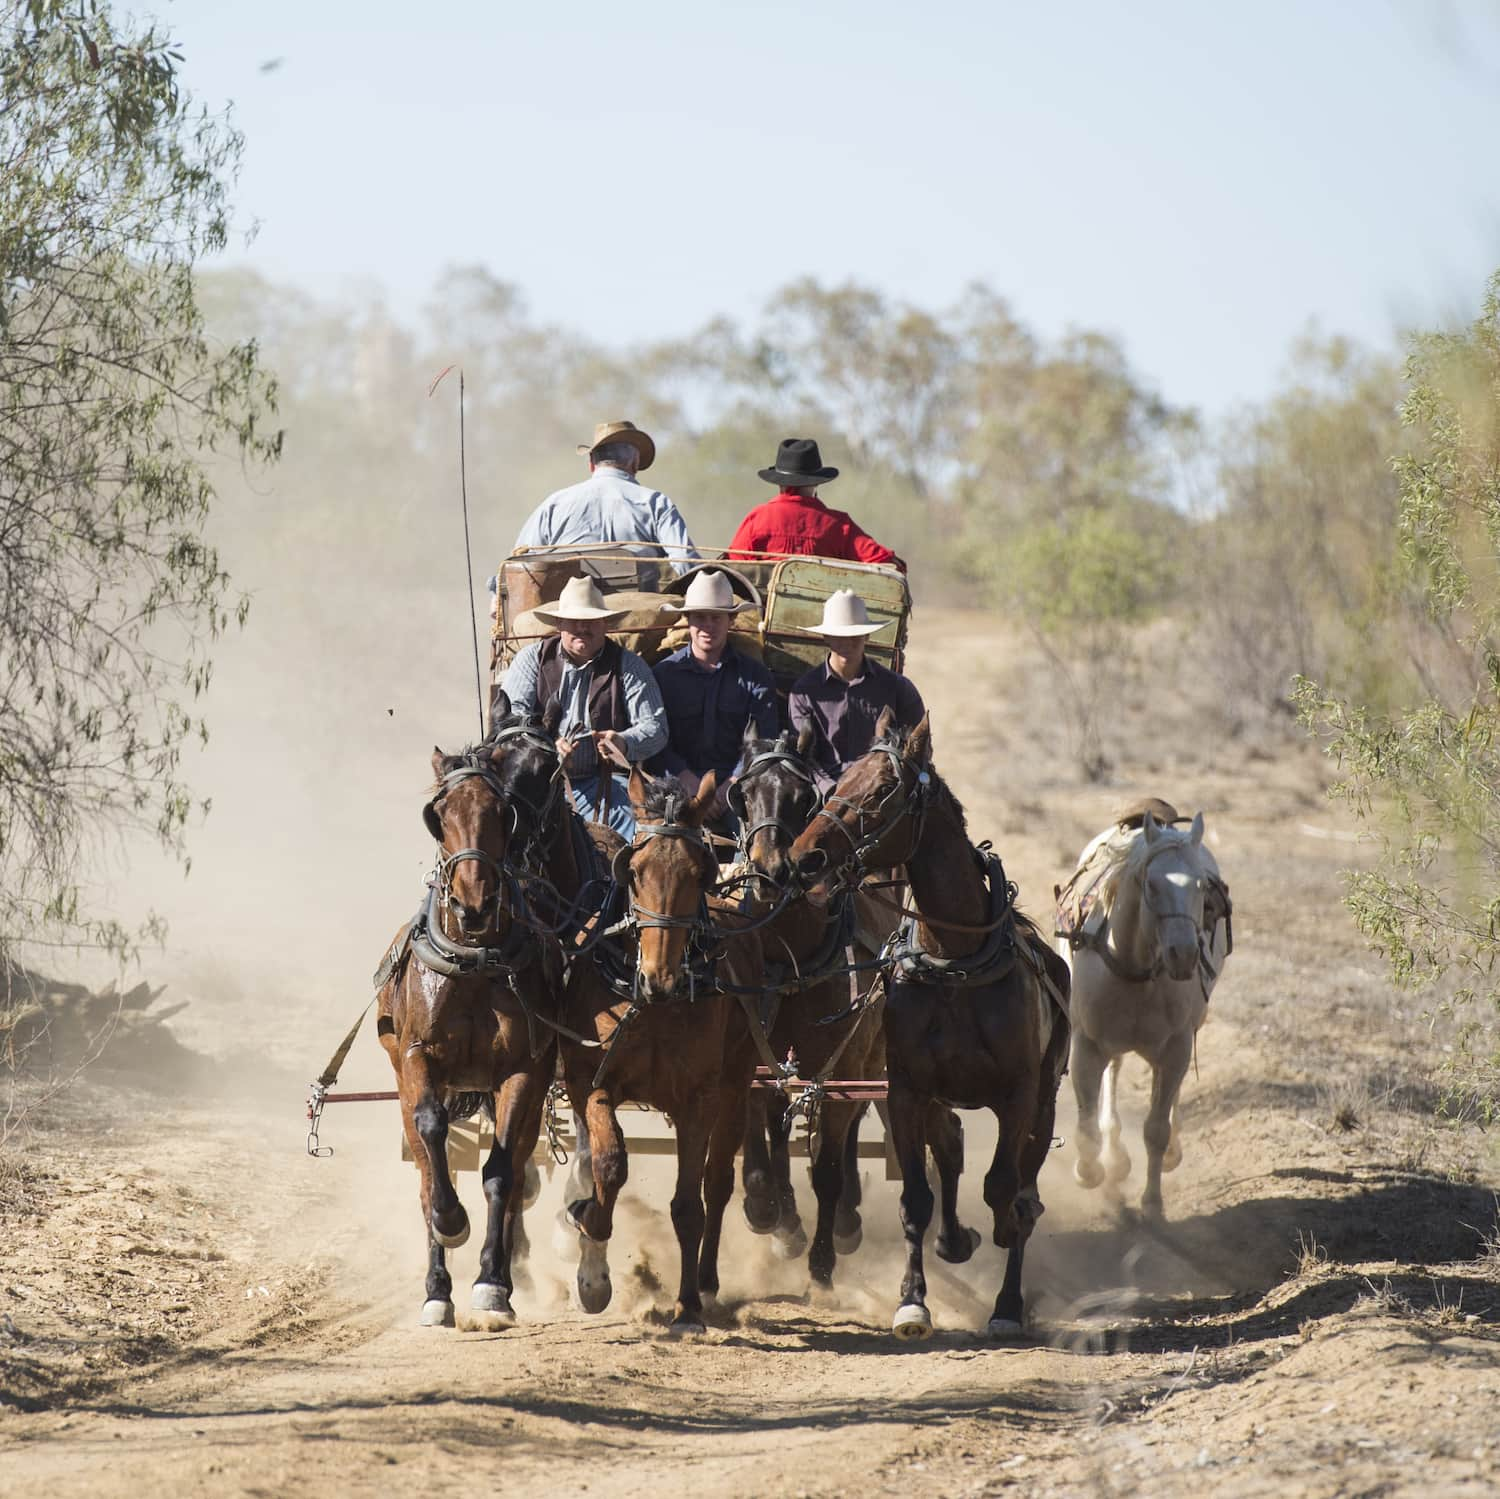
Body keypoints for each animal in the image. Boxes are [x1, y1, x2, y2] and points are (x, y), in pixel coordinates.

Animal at [372, 708, 564, 1332]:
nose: (474, 904)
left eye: (502, 812)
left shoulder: (523, 1070)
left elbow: (502, 1172)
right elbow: (433, 1136)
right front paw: (450, 1223)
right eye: (438, 816)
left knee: (518, 1169)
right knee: (426, 1167)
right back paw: (436, 1287)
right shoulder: (416, 1057)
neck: (476, 962)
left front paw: (491, 1284)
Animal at [555, 768, 762, 1332]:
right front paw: (590, 1246)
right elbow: (608, 1164)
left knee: (718, 1182)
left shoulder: (699, 1098)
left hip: (737, 1084)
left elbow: (689, 1205)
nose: (660, 980)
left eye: (698, 873)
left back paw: (707, 1283)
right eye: (634, 870)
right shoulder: (591, 1080)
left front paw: (687, 1307)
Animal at [792, 714, 1074, 1350]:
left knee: (1022, 1188)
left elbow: (1004, 1189)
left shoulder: (1018, 1096)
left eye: (881, 791)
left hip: (1044, 1103)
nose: (803, 855)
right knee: (949, 1145)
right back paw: (955, 1239)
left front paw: (1006, 1303)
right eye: (839, 778)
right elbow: (916, 1198)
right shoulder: (906, 1091)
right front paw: (912, 1302)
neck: (955, 959)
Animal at [1056, 810, 1230, 1218]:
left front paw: (1152, 1202)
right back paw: (1115, 1157)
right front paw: (1089, 1173)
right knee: (1114, 1073)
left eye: (1202, 886)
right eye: (1151, 884)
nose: (1184, 954)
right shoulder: (1086, 1044)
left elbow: (1156, 1128)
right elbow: (1086, 1127)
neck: (1133, 967)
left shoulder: (1176, 1048)